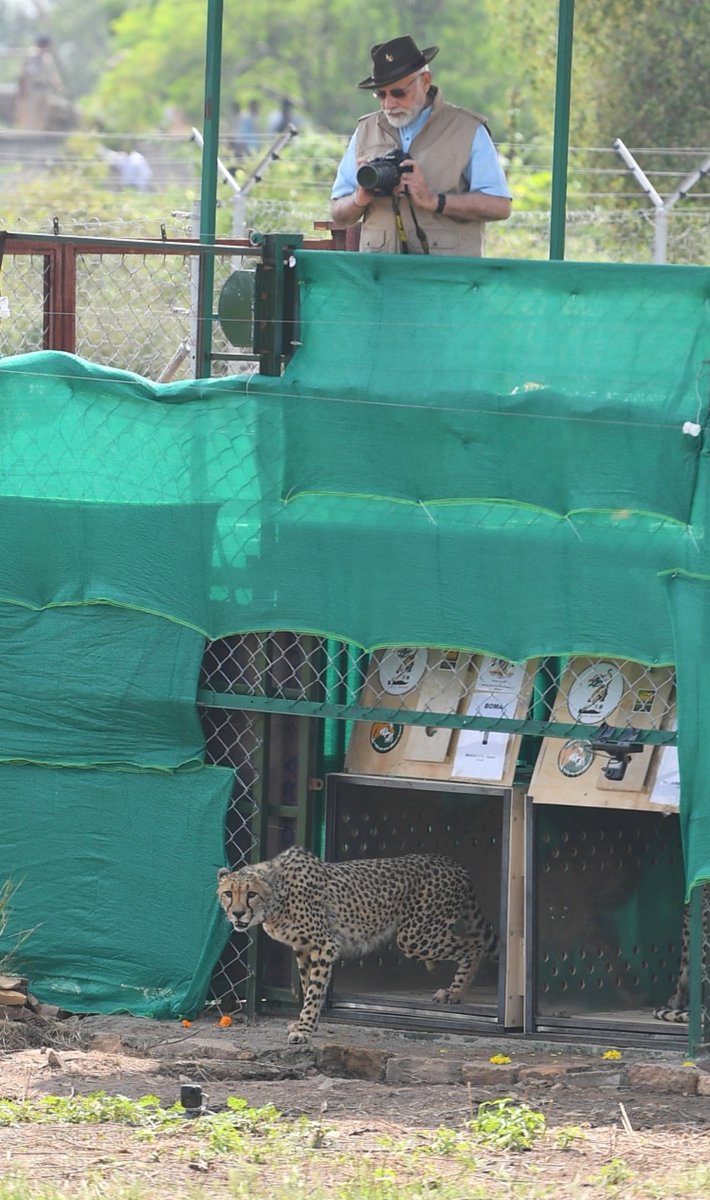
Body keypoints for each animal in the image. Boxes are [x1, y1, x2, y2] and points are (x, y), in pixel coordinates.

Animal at [217, 845, 499, 1044]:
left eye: (251, 894)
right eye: (228, 894)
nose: (238, 914)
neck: (277, 897)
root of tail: (453, 863)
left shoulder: (324, 944)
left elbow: (315, 989)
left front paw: (305, 1029)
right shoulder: (304, 948)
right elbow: (309, 985)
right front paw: (307, 1024)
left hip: (415, 936)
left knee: (474, 945)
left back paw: (454, 992)